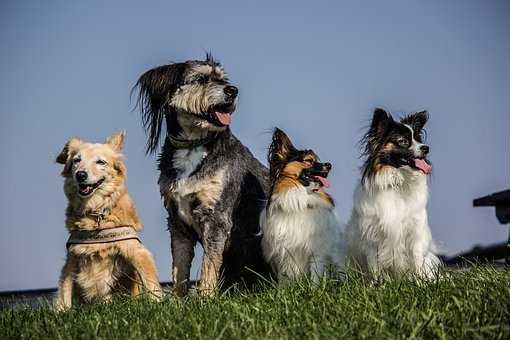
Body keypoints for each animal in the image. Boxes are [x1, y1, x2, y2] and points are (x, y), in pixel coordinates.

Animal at [54, 131, 161, 310]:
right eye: (76, 160)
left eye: (100, 162)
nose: (80, 175)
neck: (96, 213)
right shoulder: (72, 259)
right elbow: (64, 292)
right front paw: (61, 312)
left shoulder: (136, 251)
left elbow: (151, 283)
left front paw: (159, 304)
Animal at [133, 54, 272, 296]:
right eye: (200, 79)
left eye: (223, 79)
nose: (232, 90)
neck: (194, 146)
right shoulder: (176, 221)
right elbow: (179, 267)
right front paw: (179, 299)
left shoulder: (216, 216)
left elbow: (209, 263)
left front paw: (206, 297)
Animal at [258, 128, 346, 282]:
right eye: (309, 160)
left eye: (318, 160)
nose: (329, 165)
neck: (301, 200)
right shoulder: (283, 253)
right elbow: (284, 279)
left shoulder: (316, 252)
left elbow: (316, 277)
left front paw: (315, 288)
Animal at [346, 109, 442, 278]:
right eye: (403, 141)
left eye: (418, 139)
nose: (426, 148)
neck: (397, 182)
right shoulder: (372, 237)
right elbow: (375, 268)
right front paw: (379, 284)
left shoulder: (415, 234)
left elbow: (417, 262)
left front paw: (420, 282)